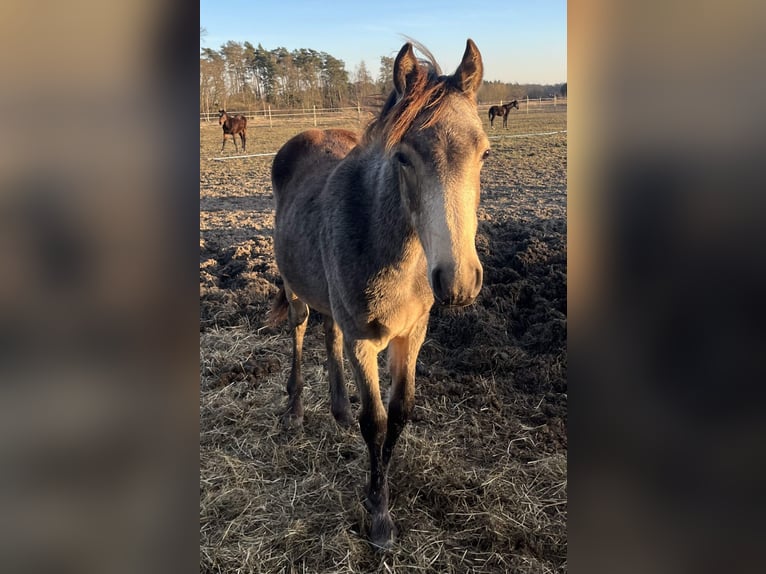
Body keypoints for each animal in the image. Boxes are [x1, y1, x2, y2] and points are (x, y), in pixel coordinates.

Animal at [268, 38, 488, 552]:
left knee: (328, 333)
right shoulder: (363, 342)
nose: (459, 282)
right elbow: (378, 421)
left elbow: (400, 413)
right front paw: (379, 516)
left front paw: (379, 494)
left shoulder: (412, 336)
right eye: (403, 157)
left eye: (485, 154)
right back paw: (295, 409)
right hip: (295, 289)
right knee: (301, 331)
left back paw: (339, 411)